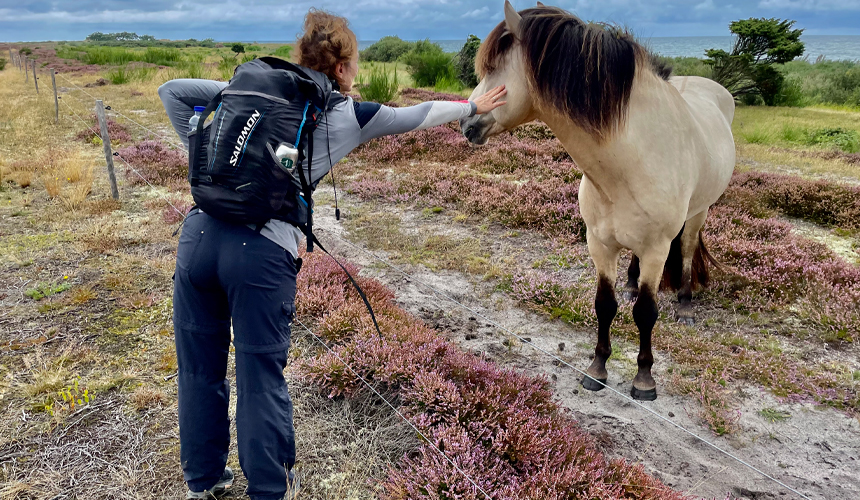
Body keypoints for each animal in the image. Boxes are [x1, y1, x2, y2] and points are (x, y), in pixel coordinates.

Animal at [460, 0, 736, 398]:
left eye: (494, 68)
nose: (466, 124)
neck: (632, 158)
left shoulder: (657, 248)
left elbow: (646, 313)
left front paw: (644, 378)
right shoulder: (599, 243)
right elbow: (604, 305)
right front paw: (597, 367)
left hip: (699, 211)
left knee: (686, 249)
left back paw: (685, 305)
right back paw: (632, 283)